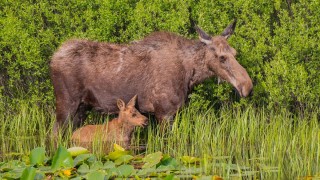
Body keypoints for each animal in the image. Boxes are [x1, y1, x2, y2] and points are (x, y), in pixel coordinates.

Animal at [50, 20, 252, 135]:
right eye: (222, 57)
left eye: (235, 53)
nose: (247, 86)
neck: (190, 75)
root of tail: (53, 58)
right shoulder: (164, 112)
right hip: (66, 104)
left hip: (82, 108)